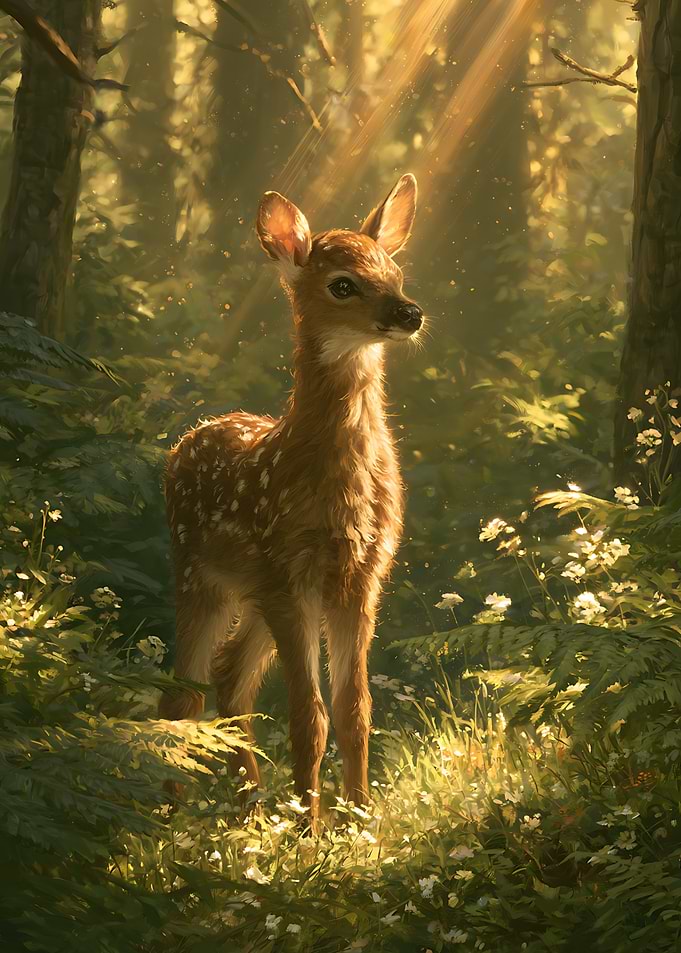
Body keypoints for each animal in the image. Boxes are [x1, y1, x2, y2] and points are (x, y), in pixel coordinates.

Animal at [159, 174, 423, 824]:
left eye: (396, 273)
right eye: (342, 283)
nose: (410, 312)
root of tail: (185, 440)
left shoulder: (362, 574)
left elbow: (355, 711)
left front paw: (359, 820)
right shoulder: (291, 567)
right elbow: (310, 716)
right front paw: (311, 830)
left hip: (258, 590)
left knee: (229, 676)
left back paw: (252, 807)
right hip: (202, 571)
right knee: (182, 692)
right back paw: (174, 811)